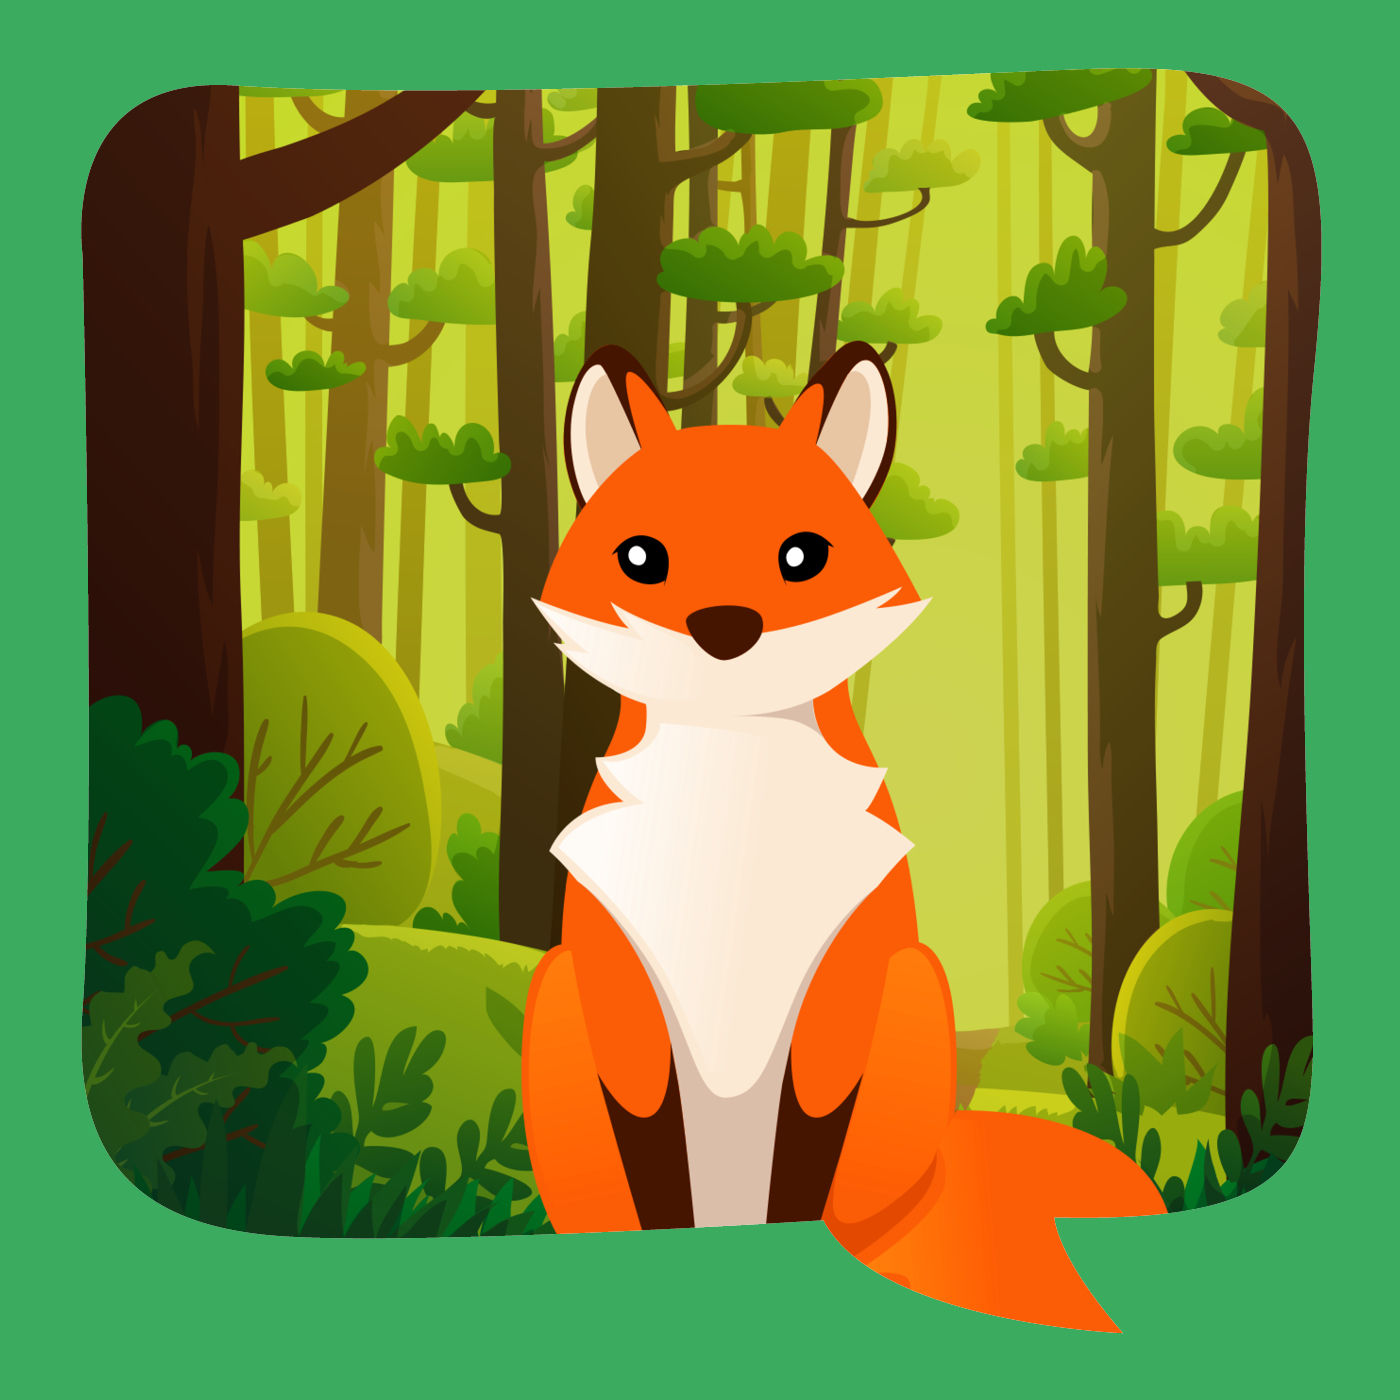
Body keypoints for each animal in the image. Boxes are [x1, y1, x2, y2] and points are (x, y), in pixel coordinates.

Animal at [522, 340, 1165, 1331]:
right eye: (640, 558)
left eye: (802, 556)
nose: (725, 629)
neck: (733, 803)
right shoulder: (611, 972)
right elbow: (649, 1148)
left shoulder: (853, 966)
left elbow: (811, 1140)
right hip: (553, 995)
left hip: (915, 985)